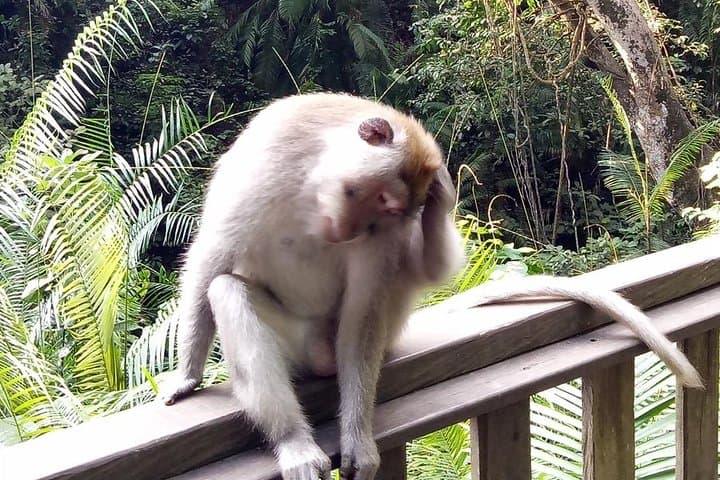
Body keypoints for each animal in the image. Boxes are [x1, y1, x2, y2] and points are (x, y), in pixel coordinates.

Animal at [161, 92, 701, 480]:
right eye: (381, 198)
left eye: (388, 213)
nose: (350, 232)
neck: (313, 180)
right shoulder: (265, 166)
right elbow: (211, 260)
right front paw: (186, 376)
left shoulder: (385, 238)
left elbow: (363, 316)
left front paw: (357, 439)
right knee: (227, 290)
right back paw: (294, 441)